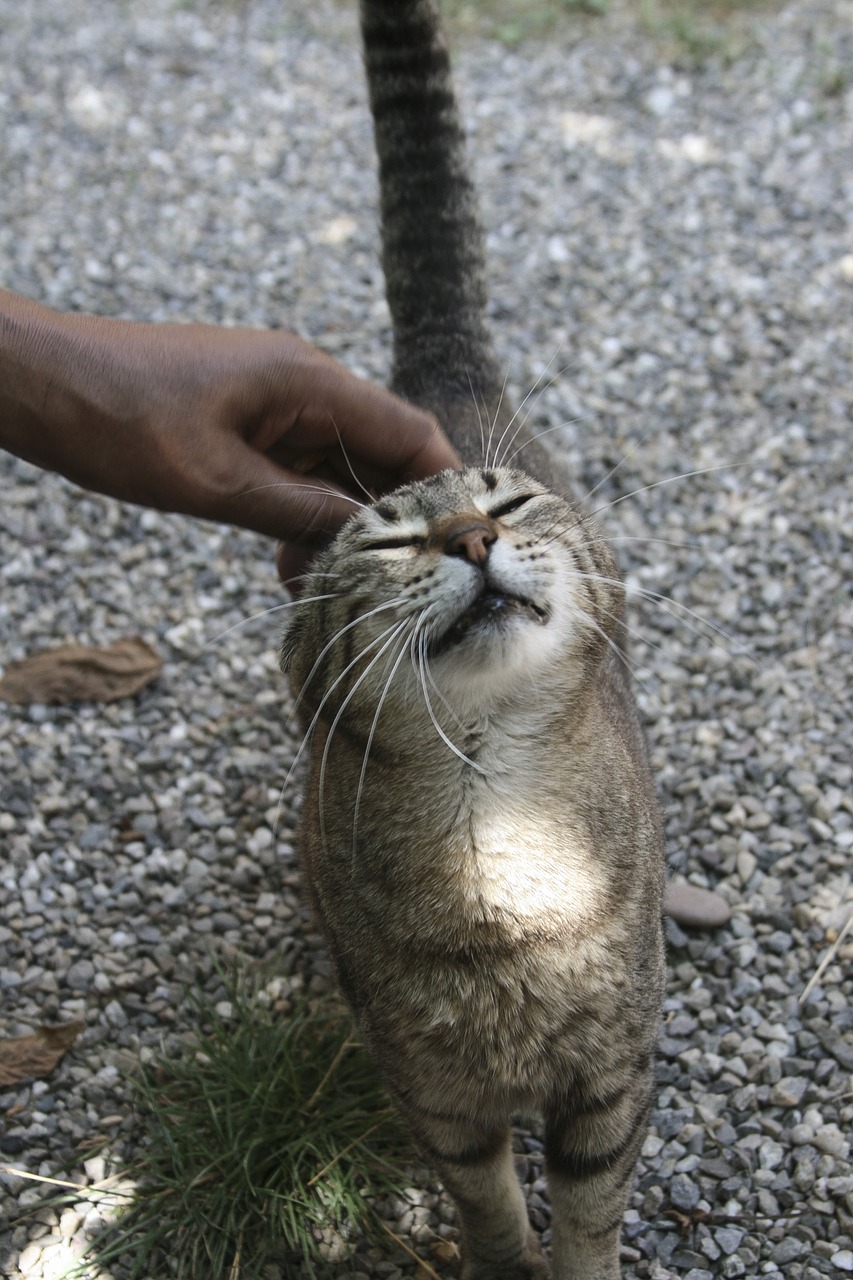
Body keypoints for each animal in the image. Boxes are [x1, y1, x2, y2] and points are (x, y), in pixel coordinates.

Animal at [279, 5, 666, 1274]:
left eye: (507, 505)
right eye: (392, 539)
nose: (465, 534)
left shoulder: (610, 1072)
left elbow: (590, 1208)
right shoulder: (434, 1089)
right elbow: (487, 1200)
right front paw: (503, 1259)